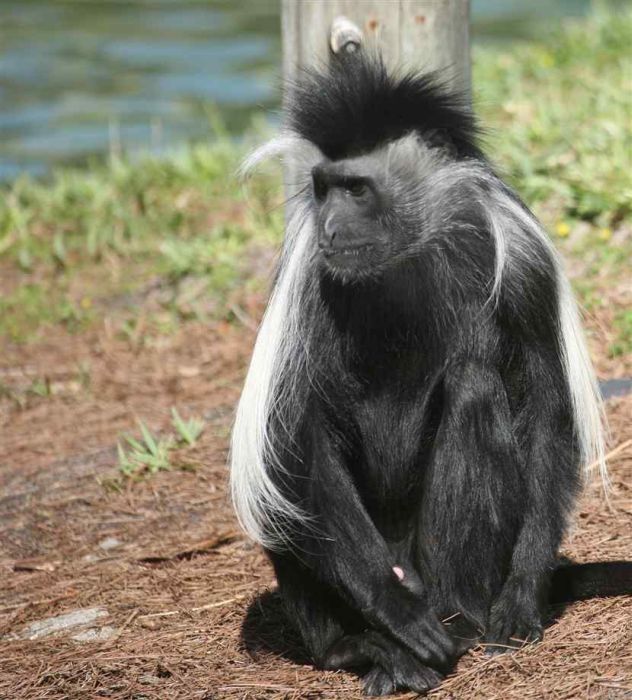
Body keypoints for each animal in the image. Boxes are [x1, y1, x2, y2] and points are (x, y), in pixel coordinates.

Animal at [232, 56, 632, 696]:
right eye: (323, 187)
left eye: (356, 188)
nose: (330, 227)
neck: (410, 250)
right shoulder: (308, 285)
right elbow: (294, 441)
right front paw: (394, 615)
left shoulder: (525, 263)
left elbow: (547, 410)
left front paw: (522, 597)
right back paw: (367, 648)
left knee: (474, 387)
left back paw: (459, 619)